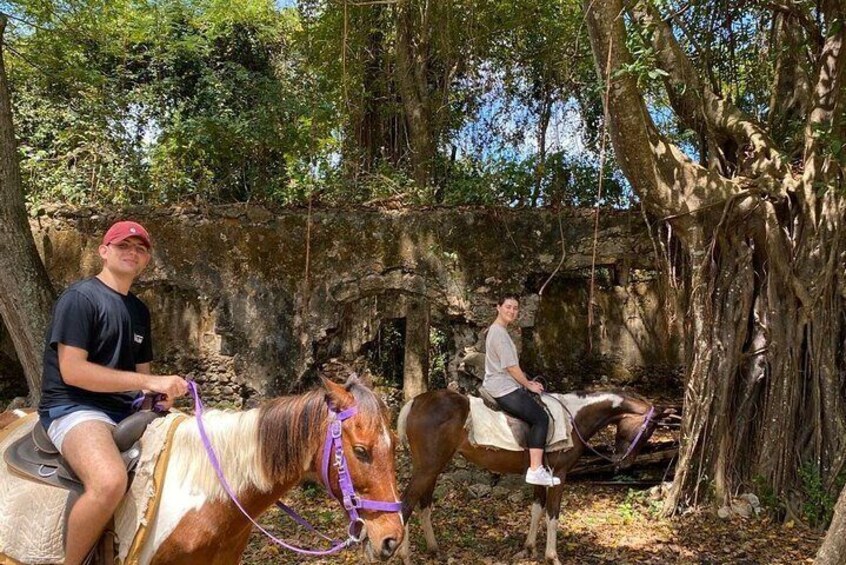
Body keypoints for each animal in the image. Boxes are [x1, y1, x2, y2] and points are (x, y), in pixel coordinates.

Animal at [398, 388, 668, 564]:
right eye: (648, 430)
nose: (625, 463)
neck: (573, 418)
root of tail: (416, 401)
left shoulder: (541, 475)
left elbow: (537, 509)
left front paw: (529, 549)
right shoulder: (559, 475)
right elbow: (552, 514)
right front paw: (552, 556)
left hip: (433, 466)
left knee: (423, 504)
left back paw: (433, 550)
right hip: (428, 467)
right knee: (406, 504)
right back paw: (405, 556)